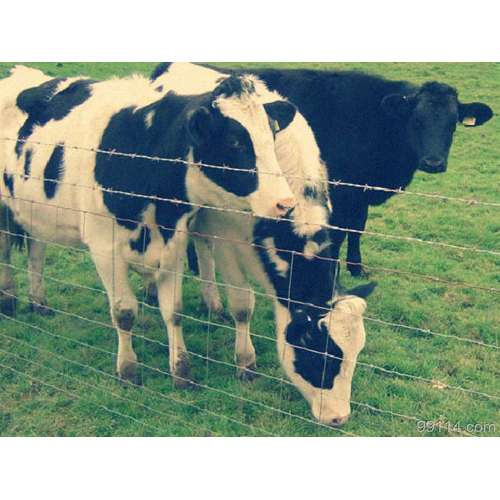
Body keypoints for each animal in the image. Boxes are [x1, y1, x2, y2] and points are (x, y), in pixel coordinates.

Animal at [0, 66, 296, 384]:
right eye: (234, 142)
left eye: (272, 135)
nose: (285, 202)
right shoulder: (104, 248)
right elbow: (124, 312)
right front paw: (128, 369)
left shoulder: (174, 242)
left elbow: (174, 311)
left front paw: (181, 370)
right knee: (5, 251)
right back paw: (9, 300)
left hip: (33, 208)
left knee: (36, 250)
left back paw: (38, 302)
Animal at [199, 64, 492, 276]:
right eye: (416, 120)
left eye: (452, 124)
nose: (433, 162)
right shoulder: (340, 191)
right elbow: (338, 233)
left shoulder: (360, 192)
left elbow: (357, 228)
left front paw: (356, 266)